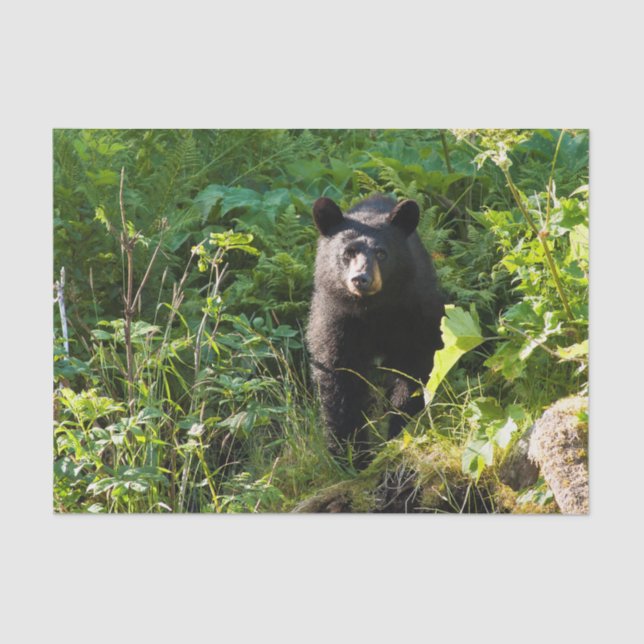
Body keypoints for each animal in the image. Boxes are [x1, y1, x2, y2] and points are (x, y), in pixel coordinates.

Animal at [306, 194, 445, 458]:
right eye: (348, 253)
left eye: (381, 253)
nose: (361, 279)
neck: (373, 310)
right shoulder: (336, 319)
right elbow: (340, 377)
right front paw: (350, 453)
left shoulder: (415, 313)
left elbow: (415, 367)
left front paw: (399, 428)